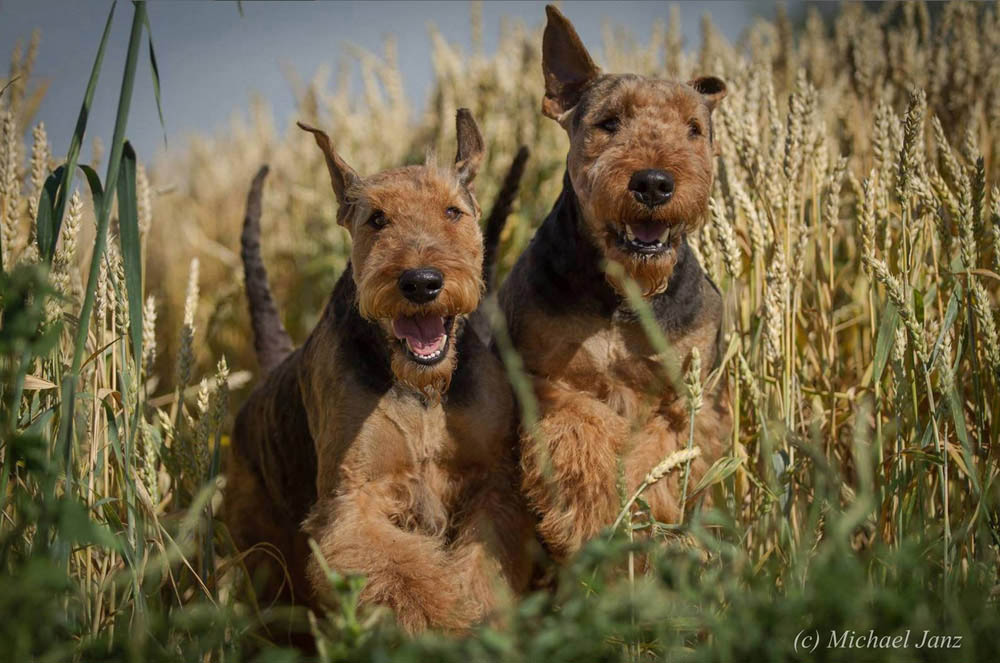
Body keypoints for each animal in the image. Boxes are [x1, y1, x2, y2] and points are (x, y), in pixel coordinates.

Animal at [225, 110, 540, 632]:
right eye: (376, 218)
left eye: (452, 211)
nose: (421, 282)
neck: (424, 391)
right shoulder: (354, 498)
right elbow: (405, 578)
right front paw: (443, 630)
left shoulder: (491, 484)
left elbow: (480, 571)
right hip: (263, 554)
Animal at [504, 6, 732, 564]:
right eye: (609, 122)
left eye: (693, 129)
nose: (653, 183)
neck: (622, 296)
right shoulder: (547, 381)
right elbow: (582, 437)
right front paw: (590, 520)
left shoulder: (686, 398)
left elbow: (660, 459)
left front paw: (644, 521)